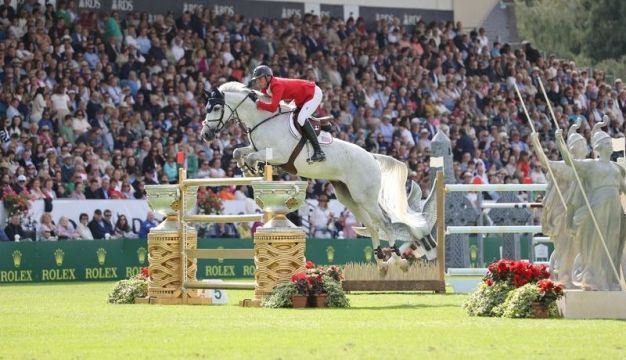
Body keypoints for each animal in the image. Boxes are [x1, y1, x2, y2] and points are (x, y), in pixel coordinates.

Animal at [200, 81, 434, 272]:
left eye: (217, 108)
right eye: (206, 108)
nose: (206, 135)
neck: (263, 119)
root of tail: (372, 157)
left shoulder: (278, 154)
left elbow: (251, 155)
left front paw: (253, 168)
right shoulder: (258, 149)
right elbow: (238, 152)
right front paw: (247, 168)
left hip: (365, 197)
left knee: (384, 222)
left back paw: (397, 259)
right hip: (348, 197)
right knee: (371, 225)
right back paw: (380, 260)